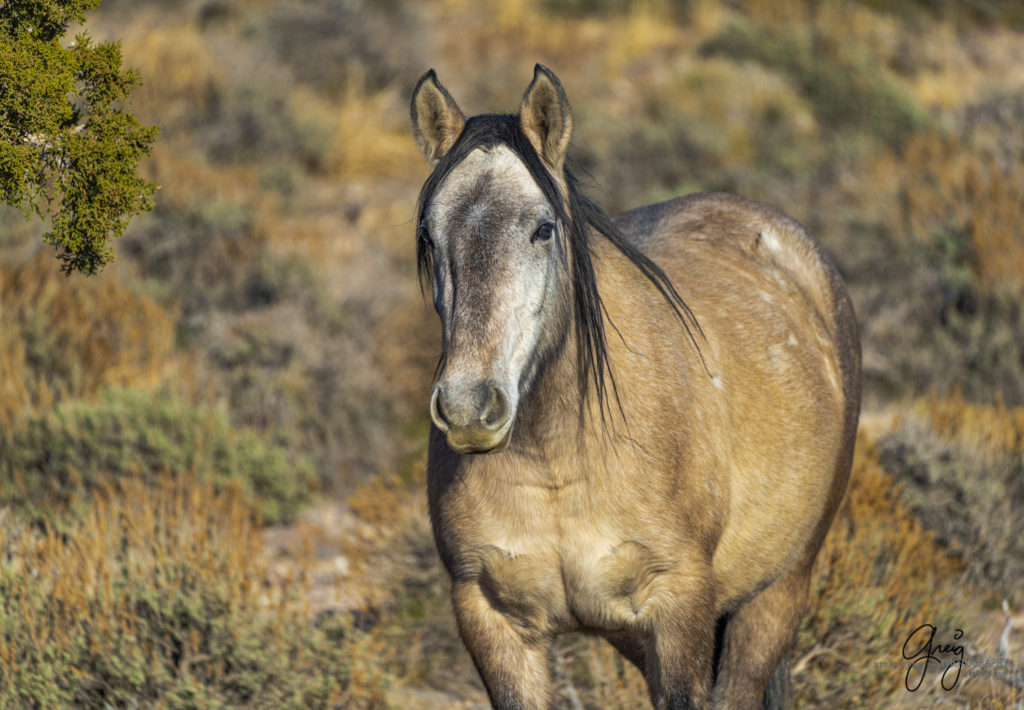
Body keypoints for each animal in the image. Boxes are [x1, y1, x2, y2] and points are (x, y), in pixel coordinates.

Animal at [407, 63, 864, 704]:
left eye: (543, 229)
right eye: (428, 234)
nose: (469, 409)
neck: (556, 462)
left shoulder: (679, 609)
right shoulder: (492, 624)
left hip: (779, 590)